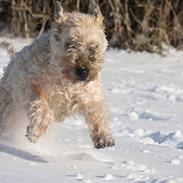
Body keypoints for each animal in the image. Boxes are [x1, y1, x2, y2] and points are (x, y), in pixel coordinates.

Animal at [0, 0, 114, 149]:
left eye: (94, 46)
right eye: (70, 43)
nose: (84, 71)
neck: (65, 80)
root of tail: (12, 59)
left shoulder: (90, 94)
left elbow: (98, 112)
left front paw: (104, 137)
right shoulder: (28, 84)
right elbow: (42, 110)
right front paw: (34, 132)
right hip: (8, 110)